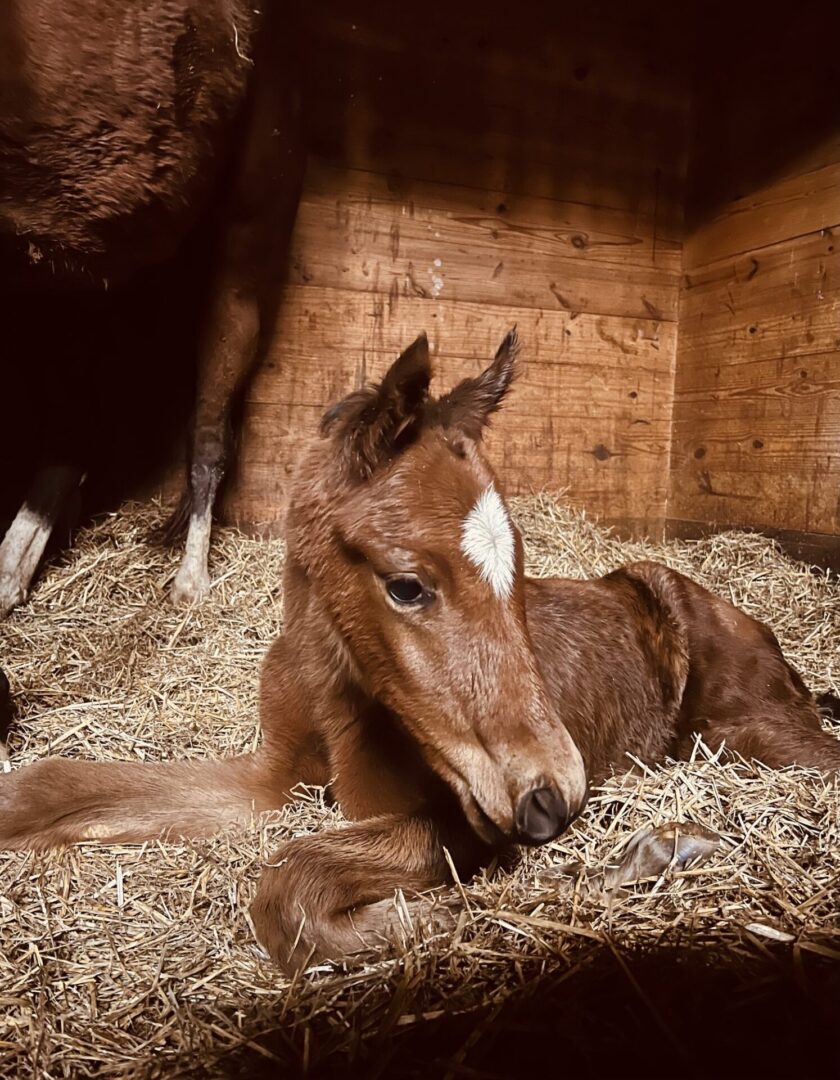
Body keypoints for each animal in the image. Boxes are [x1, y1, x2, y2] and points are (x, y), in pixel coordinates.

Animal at [1, 332, 837, 976]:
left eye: (520, 566)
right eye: (406, 586)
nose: (554, 798)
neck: (329, 691)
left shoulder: (458, 815)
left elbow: (291, 884)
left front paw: (521, 897)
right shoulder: (270, 780)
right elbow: (52, 786)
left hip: (762, 738)